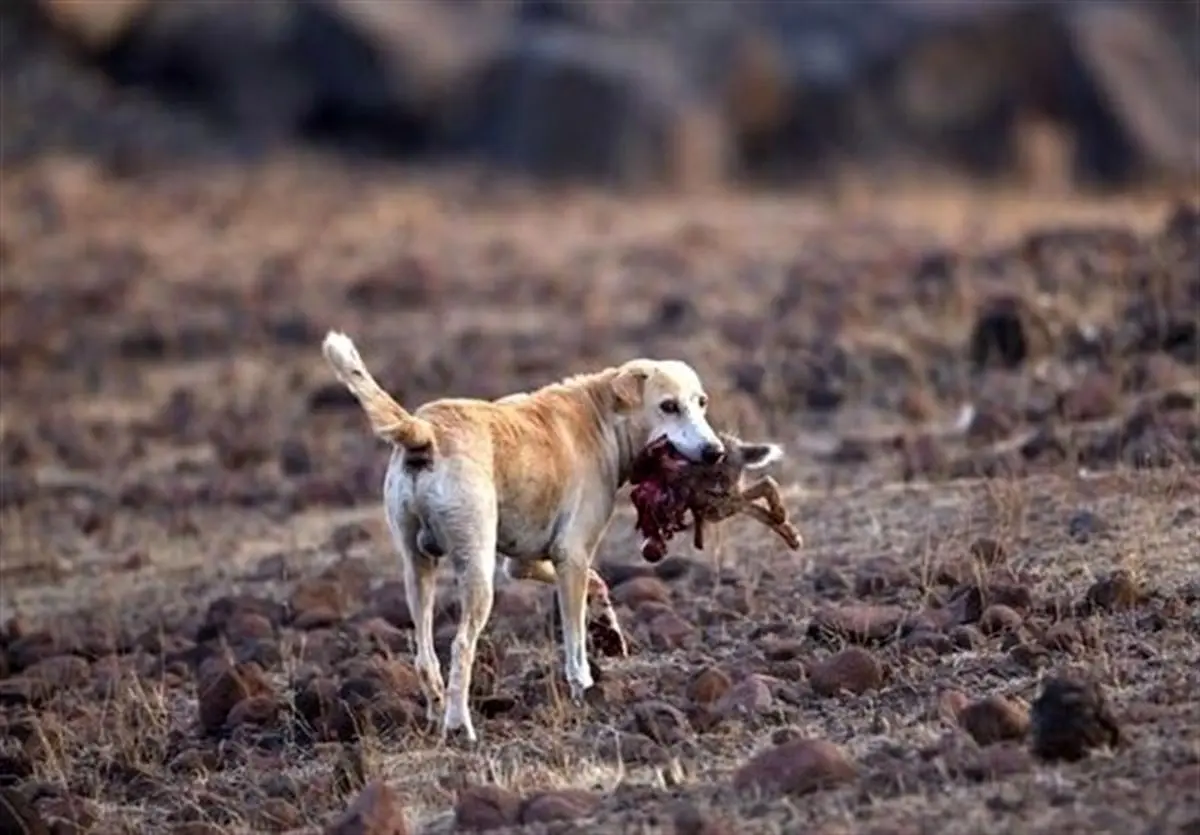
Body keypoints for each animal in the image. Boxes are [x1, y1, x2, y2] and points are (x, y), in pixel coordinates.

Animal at [319, 328, 720, 739]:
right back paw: (460, 726)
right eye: (668, 406)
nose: (715, 452)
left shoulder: (526, 562)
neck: (603, 415)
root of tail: (426, 431)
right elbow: (574, 640)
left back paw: (435, 713)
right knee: (460, 646)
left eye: (701, 402)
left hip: (417, 571)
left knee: (425, 654)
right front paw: (583, 686)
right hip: (477, 572)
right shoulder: (572, 556)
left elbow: (597, 582)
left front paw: (608, 629)